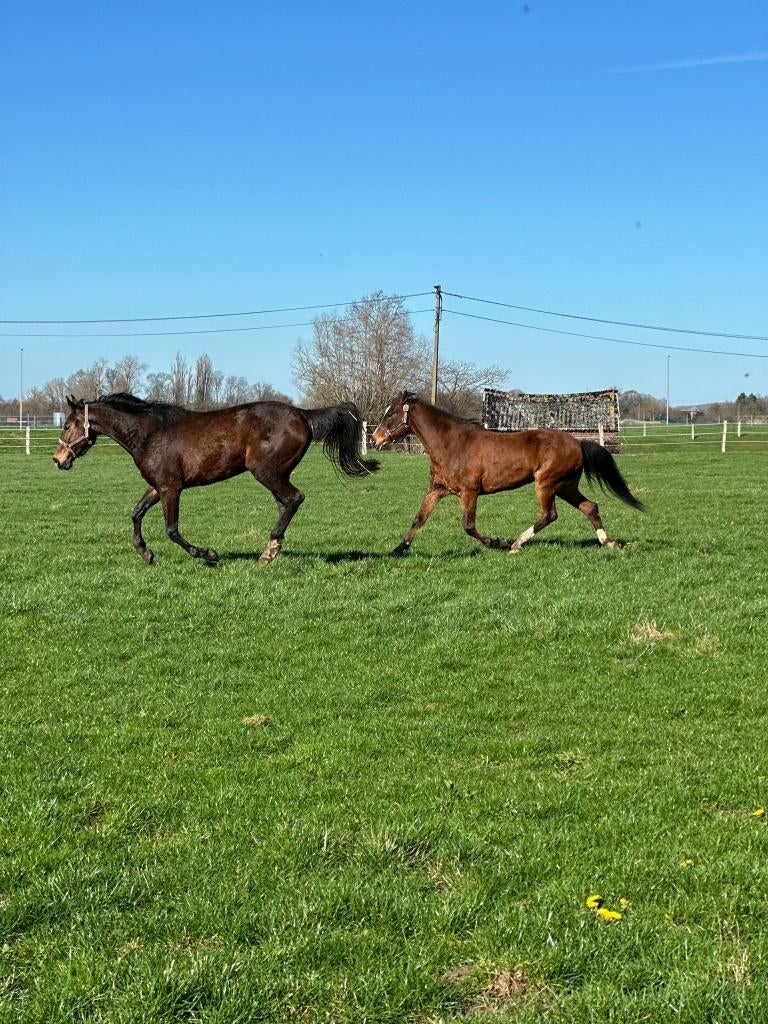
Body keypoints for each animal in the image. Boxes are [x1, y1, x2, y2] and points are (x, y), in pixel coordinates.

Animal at [53, 393, 379, 565]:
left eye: (68, 425)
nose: (58, 459)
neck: (149, 434)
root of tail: (302, 413)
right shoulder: (157, 486)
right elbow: (136, 513)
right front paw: (145, 553)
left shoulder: (171, 488)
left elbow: (172, 530)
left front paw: (207, 554)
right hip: (276, 474)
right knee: (285, 503)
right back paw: (271, 549)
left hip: (267, 471)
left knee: (294, 498)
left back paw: (268, 552)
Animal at [371, 391, 643, 555]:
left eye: (391, 413)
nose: (375, 440)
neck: (451, 444)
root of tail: (578, 443)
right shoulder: (437, 490)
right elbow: (419, 519)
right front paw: (398, 550)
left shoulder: (469, 492)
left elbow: (468, 526)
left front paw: (496, 542)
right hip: (566, 486)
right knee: (590, 507)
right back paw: (609, 543)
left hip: (546, 484)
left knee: (549, 515)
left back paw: (515, 544)